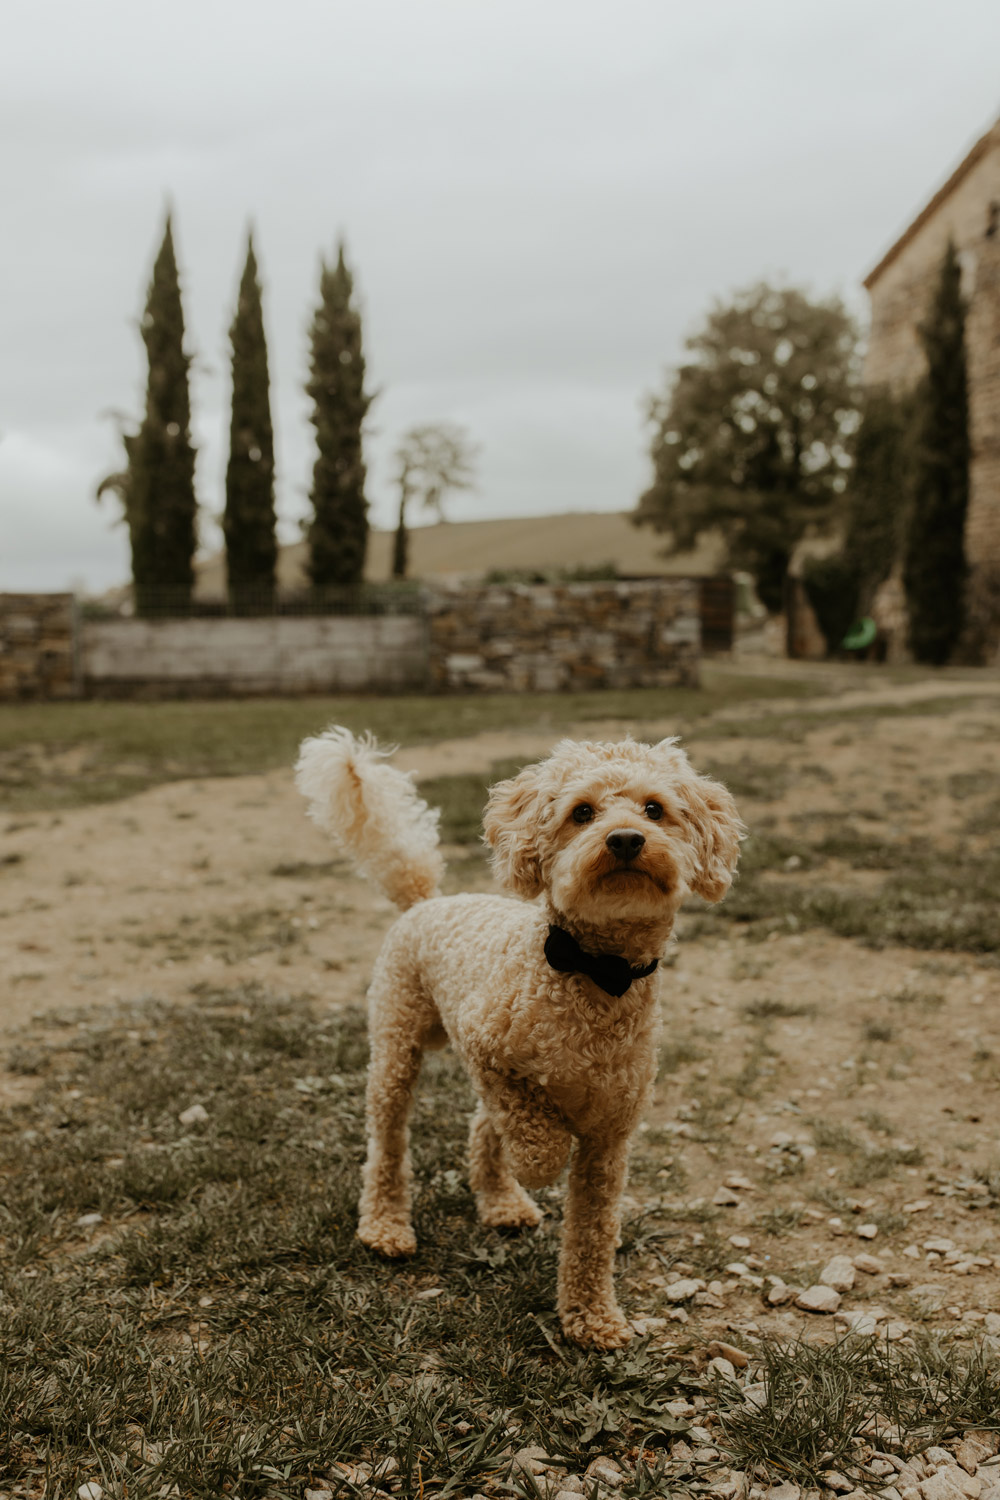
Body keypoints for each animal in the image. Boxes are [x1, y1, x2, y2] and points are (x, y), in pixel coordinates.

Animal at [295, 732, 743, 1356]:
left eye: (655, 809)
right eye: (582, 812)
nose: (626, 839)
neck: (595, 974)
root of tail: (425, 899)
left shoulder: (611, 1136)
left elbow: (592, 1233)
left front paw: (591, 1317)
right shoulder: (487, 1050)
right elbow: (535, 1138)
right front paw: (538, 1160)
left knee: (482, 1126)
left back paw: (500, 1201)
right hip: (396, 1045)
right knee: (389, 1142)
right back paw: (386, 1225)